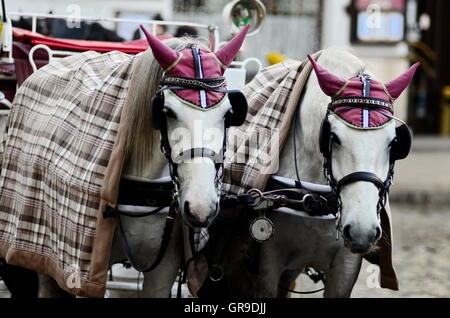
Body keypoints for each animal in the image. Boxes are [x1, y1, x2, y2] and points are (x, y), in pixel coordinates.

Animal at [207, 47, 418, 298]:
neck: (314, 198)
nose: (362, 230)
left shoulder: (344, 268)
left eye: (393, 142)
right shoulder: (268, 265)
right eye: (333, 137)